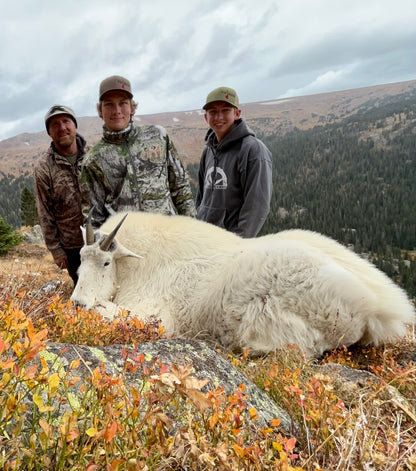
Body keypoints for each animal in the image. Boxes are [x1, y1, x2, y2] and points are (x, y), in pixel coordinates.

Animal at [70, 212, 414, 360]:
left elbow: (109, 311)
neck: (140, 265)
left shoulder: (156, 315)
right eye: (80, 258)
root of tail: (380, 309)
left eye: (105, 263)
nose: (76, 302)